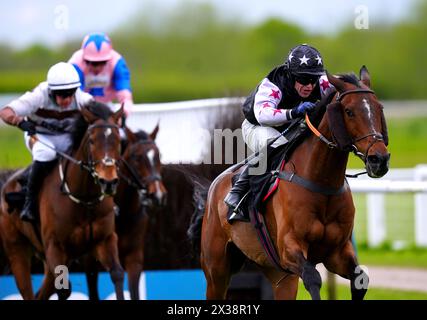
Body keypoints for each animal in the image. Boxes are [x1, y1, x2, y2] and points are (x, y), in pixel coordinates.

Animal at [0, 102, 126, 300]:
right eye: (92, 141)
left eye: (118, 140)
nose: (108, 181)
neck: (84, 200)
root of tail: (7, 183)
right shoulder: (55, 247)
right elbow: (64, 289)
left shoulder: (105, 240)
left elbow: (117, 273)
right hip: (17, 250)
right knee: (28, 291)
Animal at [85, 125, 167, 300]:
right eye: (137, 157)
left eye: (158, 155)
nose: (158, 195)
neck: (123, 214)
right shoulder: (95, 257)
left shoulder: (134, 257)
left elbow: (134, 290)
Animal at [191, 66, 392, 298]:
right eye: (349, 111)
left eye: (379, 108)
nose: (379, 159)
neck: (322, 182)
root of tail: (214, 186)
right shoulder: (289, 249)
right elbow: (313, 278)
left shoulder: (337, 253)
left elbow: (361, 278)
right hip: (217, 269)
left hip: (276, 272)